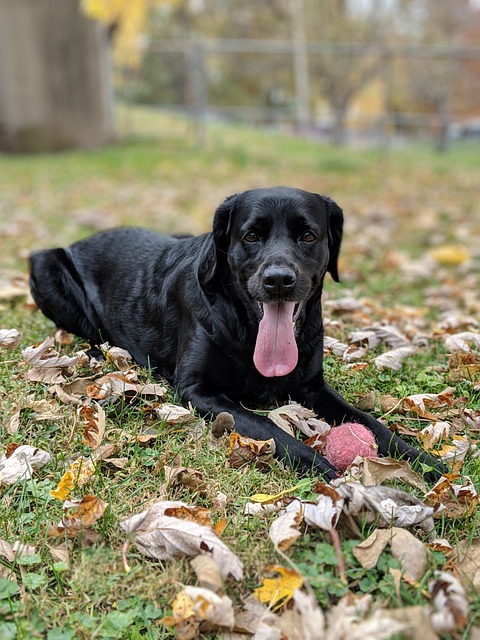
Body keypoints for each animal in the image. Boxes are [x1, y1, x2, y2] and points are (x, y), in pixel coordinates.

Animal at [30, 185, 446, 480]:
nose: (278, 280)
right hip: (45, 263)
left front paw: (425, 462)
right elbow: (268, 426)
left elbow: (370, 423)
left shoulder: (313, 386)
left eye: (308, 236)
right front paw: (322, 467)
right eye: (251, 236)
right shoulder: (199, 390)